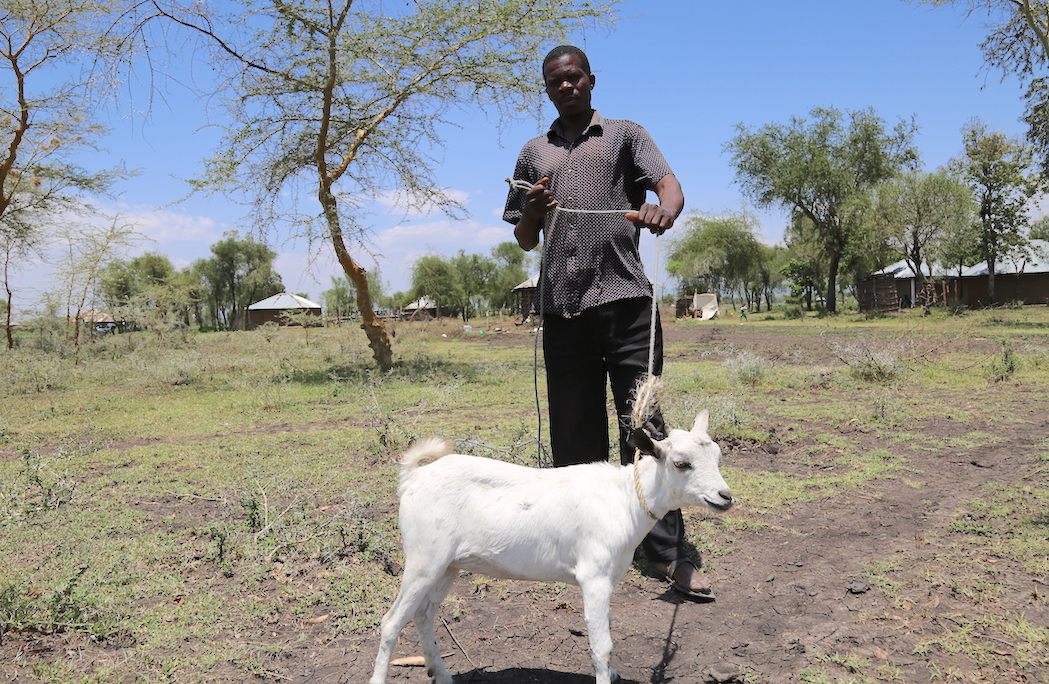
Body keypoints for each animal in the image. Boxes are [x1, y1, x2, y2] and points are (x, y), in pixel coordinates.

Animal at [373, 411, 734, 684]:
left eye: (717, 456)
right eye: (681, 463)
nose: (725, 497)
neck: (625, 500)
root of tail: (413, 478)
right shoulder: (594, 577)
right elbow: (602, 645)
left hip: (448, 564)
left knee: (423, 614)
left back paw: (442, 674)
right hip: (424, 558)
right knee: (391, 622)